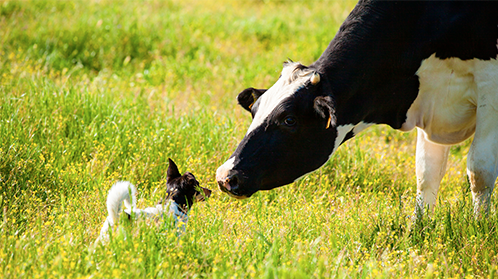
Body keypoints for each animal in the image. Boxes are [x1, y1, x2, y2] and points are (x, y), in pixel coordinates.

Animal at [215, 0, 498, 218]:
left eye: (289, 120)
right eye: (254, 111)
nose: (226, 175)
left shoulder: (489, 82)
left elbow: (480, 170)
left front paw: (479, 229)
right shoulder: (430, 98)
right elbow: (427, 173)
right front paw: (420, 229)